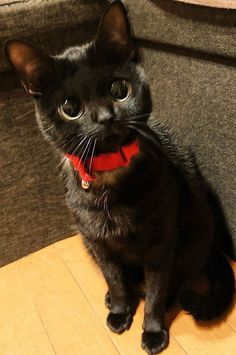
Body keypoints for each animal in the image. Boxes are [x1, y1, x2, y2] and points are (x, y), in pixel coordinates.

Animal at [5, 1, 234, 354]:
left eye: (119, 89)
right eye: (70, 107)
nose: (105, 117)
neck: (110, 182)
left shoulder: (161, 242)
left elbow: (155, 291)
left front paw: (152, 330)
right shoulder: (98, 243)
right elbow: (113, 278)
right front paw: (120, 311)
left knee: (174, 279)